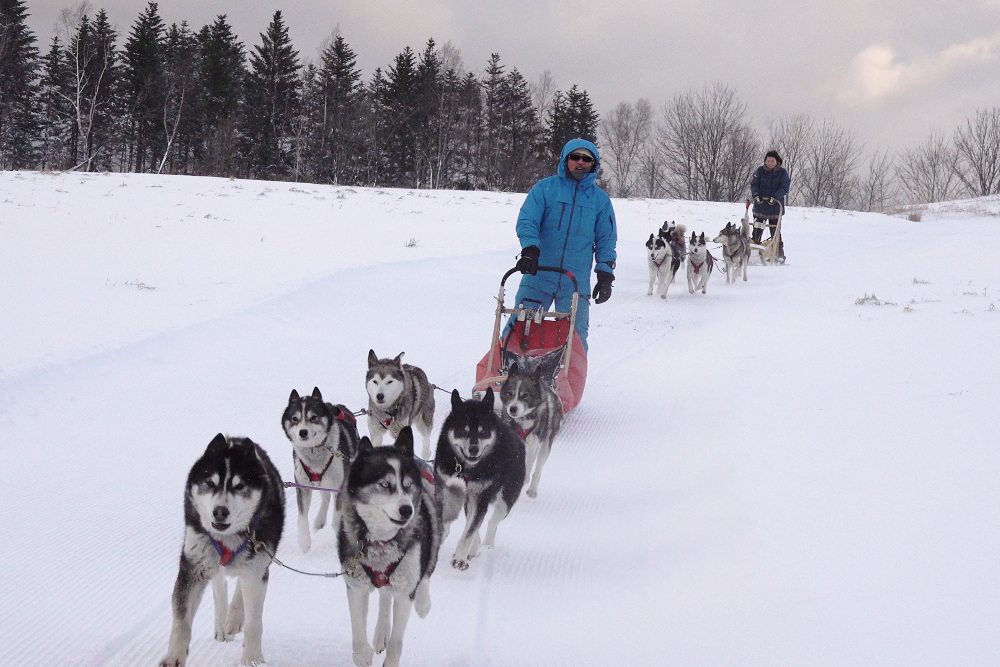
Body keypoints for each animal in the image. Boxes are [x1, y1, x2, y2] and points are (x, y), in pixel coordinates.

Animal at [160, 436, 286, 664]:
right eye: (210, 483)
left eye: (240, 486)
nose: (220, 511)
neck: (229, 536)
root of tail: (233, 438)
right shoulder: (194, 568)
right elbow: (182, 622)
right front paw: (174, 658)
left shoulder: (257, 569)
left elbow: (254, 623)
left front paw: (252, 660)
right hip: (209, 560)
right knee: (219, 585)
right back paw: (222, 624)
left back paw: (234, 619)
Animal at [282, 386, 360, 552]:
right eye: (295, 418)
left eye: (313, 417)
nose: (303, 432)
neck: (315, 453)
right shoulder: (302, 485)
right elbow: (302, 516)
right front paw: (304, 541)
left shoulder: (340, 485)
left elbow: (337, 516)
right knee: (325, 497)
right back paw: (319, 520)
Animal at [336, 428, 442, 667]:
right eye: (385, 484)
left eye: (408, 485)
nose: (407, 510)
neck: (381, 542)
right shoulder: (355, 586)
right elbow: (358, 633)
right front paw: (362, 655)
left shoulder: (404, 594)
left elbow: (396, 643)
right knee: (385, 596)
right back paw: (380, 633)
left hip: (432, 532)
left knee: (427, 569)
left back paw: (423, 602)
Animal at [434, 388, 528, 572]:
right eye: (463, 431)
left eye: (483, 431)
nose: (473, 449)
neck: (465, 469)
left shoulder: (481, 498)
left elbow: (469, 531)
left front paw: (460, 558)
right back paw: (474, 548)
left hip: (505, 500)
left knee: (491, 522)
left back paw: (486, 545)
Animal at [500, 362, 564, 498]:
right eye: (510, 393)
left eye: (525, 395)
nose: (512, 408)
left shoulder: (532, 446)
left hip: (545, 446)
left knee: (537, 471)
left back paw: (532, 489)